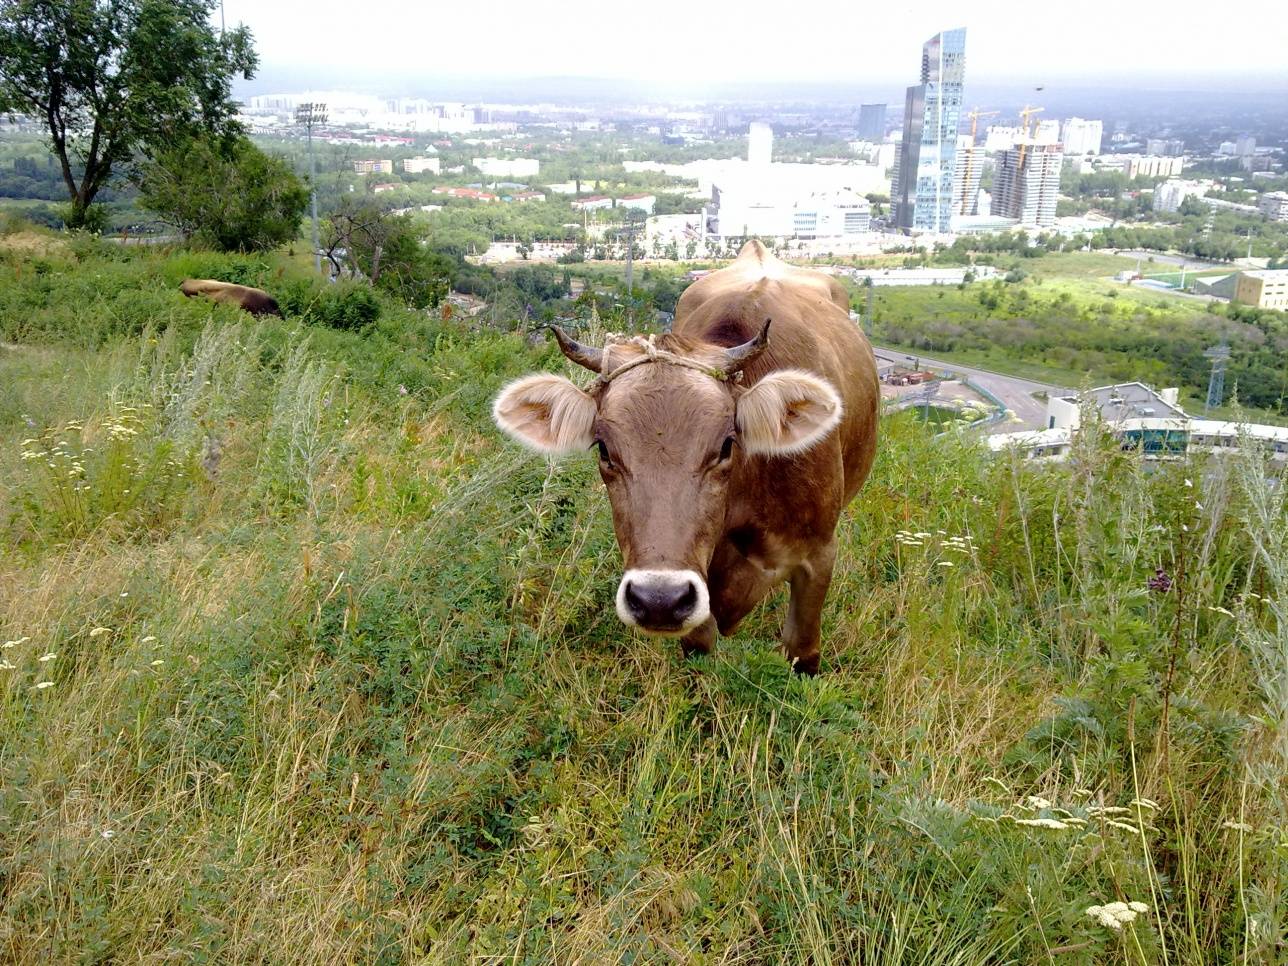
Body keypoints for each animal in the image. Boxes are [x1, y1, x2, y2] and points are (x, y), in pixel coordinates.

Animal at [489, 240, 875, 674]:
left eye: (726, 444)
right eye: (603, 448)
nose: (659, 600)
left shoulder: (819, 557)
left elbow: (803, 653)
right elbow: (700, 648)